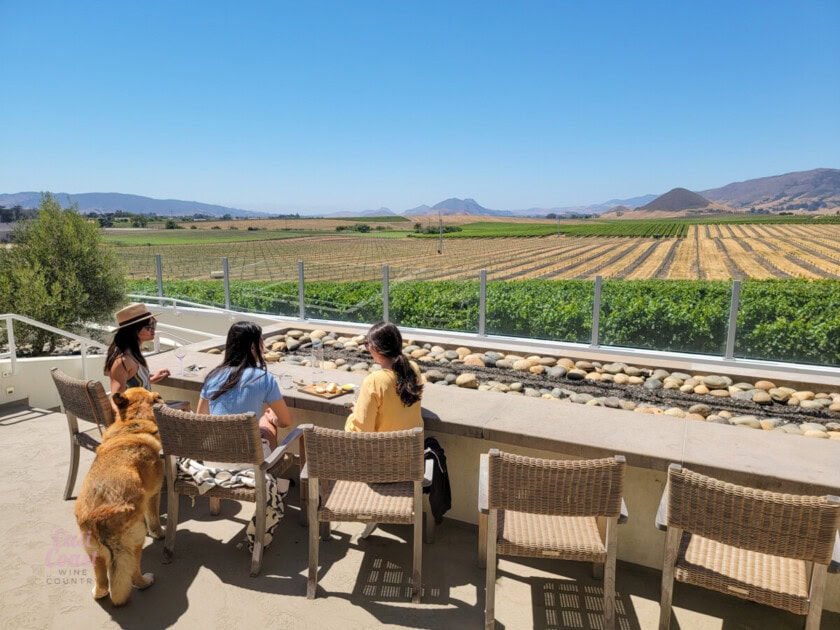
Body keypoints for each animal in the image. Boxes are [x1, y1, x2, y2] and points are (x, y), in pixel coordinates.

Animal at [75, 388, 167, 608]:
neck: (133, 424)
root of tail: (98, 517)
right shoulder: (154, 494)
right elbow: (154, 519)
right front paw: (159, 533)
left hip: (93, 552)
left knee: (102, 583)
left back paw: (98, 592)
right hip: (135, 543)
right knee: (132, 576)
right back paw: (146, 581)